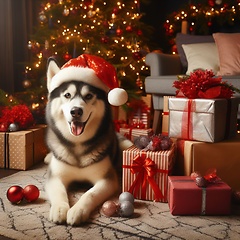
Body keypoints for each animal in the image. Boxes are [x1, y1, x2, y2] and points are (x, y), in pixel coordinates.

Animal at [45, 54, 131, 225]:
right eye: (67, 95)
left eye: (89, 96)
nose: (76, 111)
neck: (77, 144)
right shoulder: (55, 177)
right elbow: (59, 191)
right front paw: (59, 209)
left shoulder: (107, 180)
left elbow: (90, 194)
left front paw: (77, 210)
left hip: (126, 144)